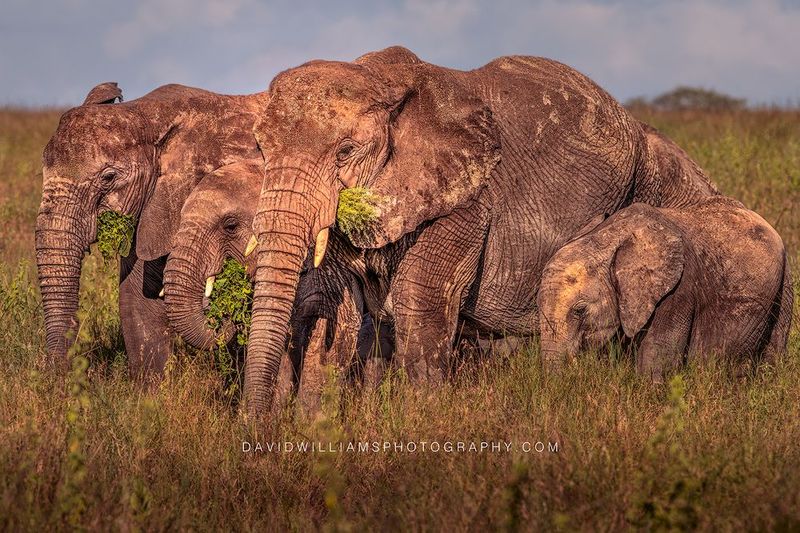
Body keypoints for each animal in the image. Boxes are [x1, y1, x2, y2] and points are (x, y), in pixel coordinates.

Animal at [242, 45, 720, 416]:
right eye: (261, 148)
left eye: (345, 152)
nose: (256, 424)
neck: (383, 82)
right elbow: (338, 305)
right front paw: (315, 426)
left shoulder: (470, 199)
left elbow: (418, 296)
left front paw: (425, 421)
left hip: (665, 184)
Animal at [537, 197, 793, 380]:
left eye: (579, 310)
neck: (607, 239)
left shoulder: (678, 289)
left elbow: (658, 353)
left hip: (785, 281)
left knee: (773, 352)